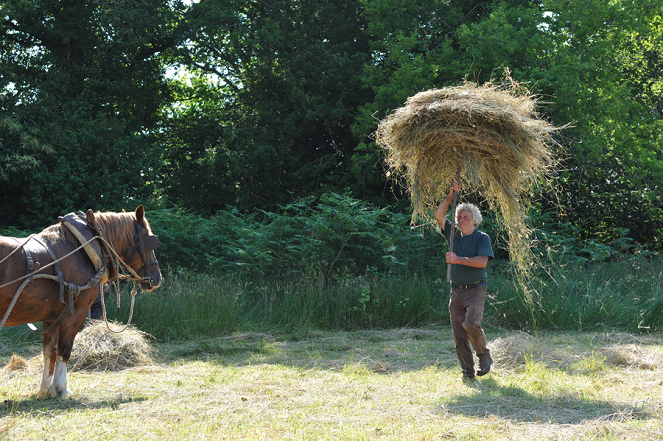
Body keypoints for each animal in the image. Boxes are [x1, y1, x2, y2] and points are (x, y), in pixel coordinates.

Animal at [0, 205, 161, 396]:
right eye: (147, 238)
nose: (156, 278)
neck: (80, 248)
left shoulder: (51, 318)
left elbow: (49, 351)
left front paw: (46, 389)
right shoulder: (76, 313)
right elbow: (65, 349)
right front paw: (61, 387)